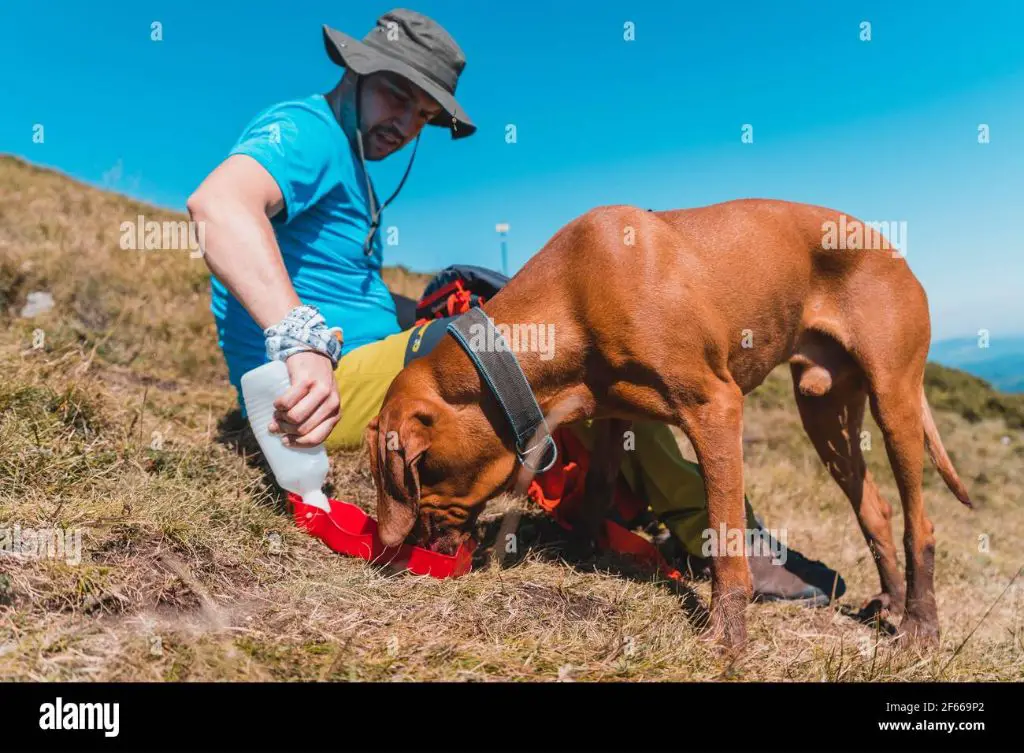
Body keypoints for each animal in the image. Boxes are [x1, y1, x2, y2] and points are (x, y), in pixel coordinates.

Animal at [364, 198, 970, 647]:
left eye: (410, 474)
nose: (401, 544)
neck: (573, 294)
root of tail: (892, 248)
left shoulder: (716, 409)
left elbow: (725, 537)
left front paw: (727, 636)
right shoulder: (613, 416)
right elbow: (597, 490)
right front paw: (583, 550)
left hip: (894, 400)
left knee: (920, 524)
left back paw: (920, 624)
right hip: (825, 414)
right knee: (876, 510)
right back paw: (891, 601)